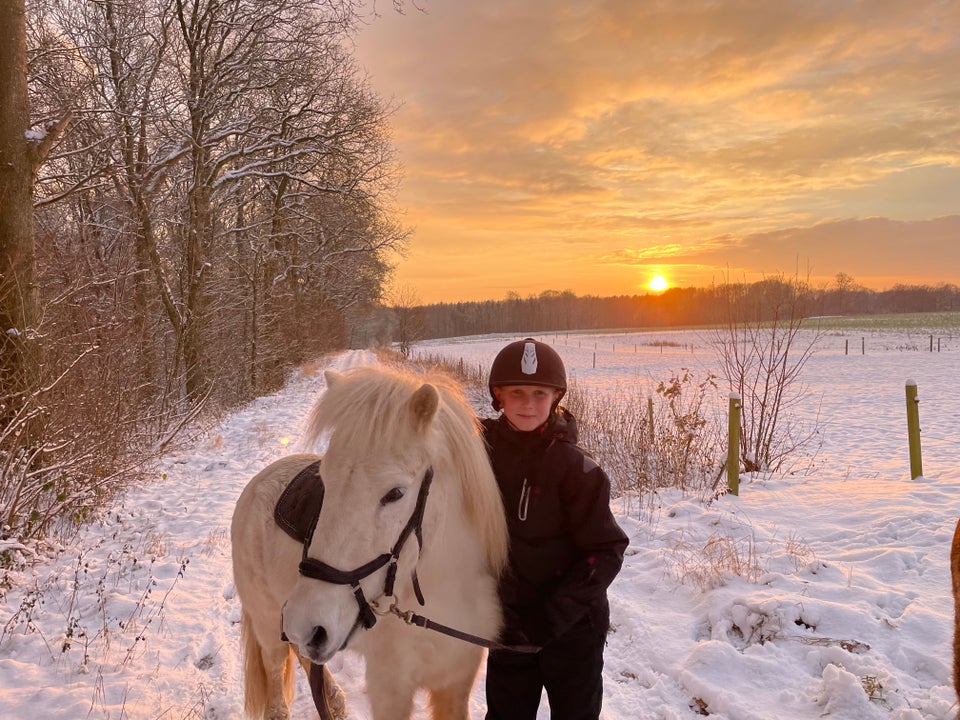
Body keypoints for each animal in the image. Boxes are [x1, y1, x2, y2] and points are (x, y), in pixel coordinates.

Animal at [232, 366, 510, 720]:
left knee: (307, 658)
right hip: (271, 622)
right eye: (325, 483)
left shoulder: (455, 684)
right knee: (277, 668)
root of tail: (257, 482)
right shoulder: (390, 688)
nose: (307, 622)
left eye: (395, 493)